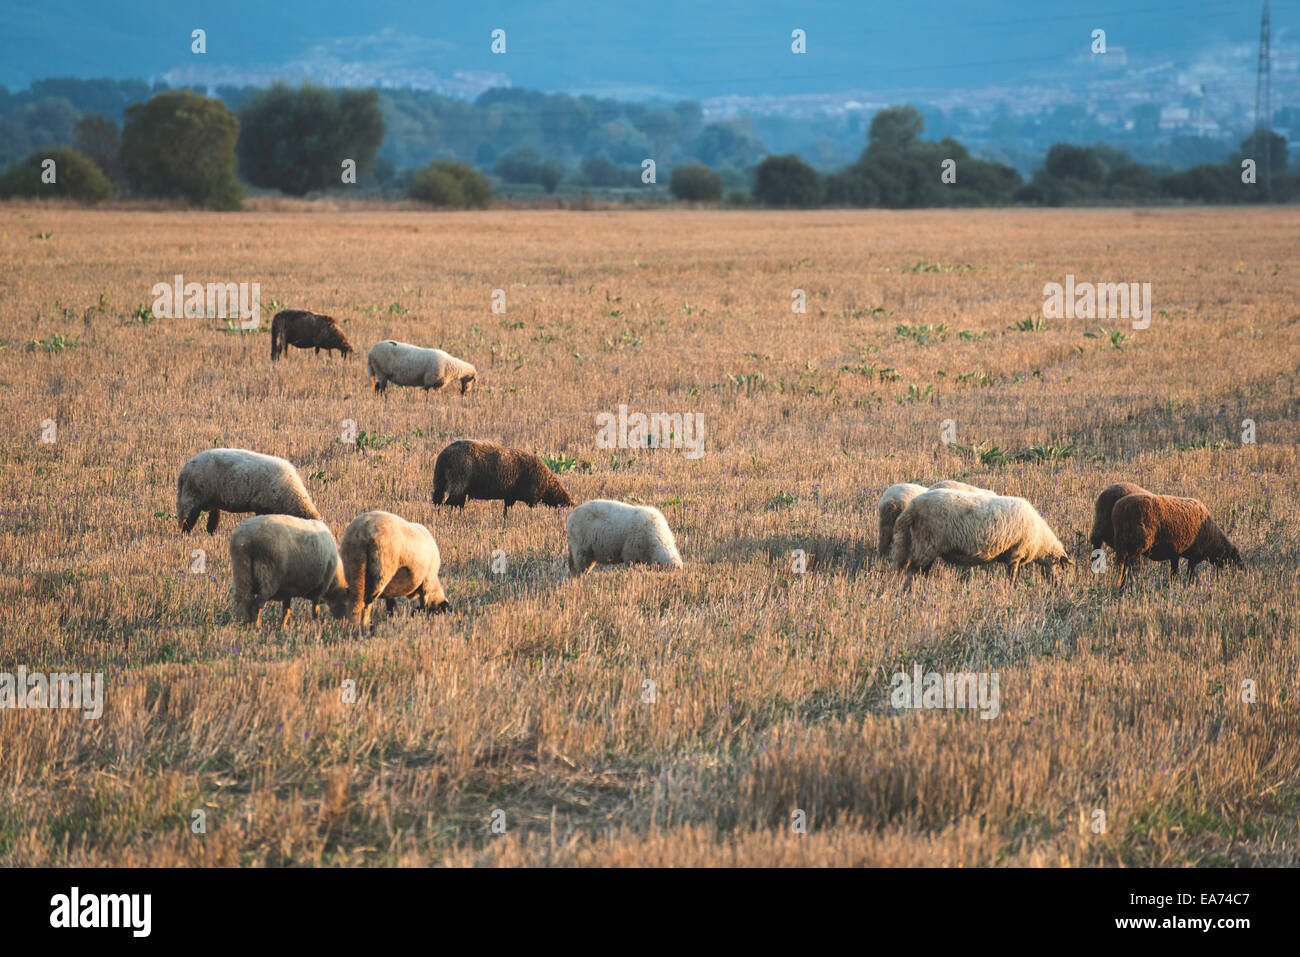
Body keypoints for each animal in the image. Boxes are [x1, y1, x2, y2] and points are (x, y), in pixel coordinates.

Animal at [177, 448, 321, 534]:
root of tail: (184, 470)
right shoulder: (261, 506)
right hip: (194, 496)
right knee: (190, 520)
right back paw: (186, 535)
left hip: (212, 499)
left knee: (212, 520)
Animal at [432, 439, 574, 519]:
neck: (548, 485)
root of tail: (443, 456)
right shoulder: (532, 499)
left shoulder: (510, 496)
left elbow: (506, 511)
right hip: (458, 484)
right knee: (448, 504)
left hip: (441, 484)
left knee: (441, 503)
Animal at [890, 489, 1071, 584]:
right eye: (1058, 565)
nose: (1056, 585)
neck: (1040, 541)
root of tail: (912, 507)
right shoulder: (1015, 553)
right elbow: (1012, 577)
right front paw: (1012, 589)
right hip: (927, 543)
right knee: (913, 570)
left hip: (927, 546)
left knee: (921, 570)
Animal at [1111, 493, 1242, 591]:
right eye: (1234, 558)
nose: (1241, 573)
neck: (1213, 537)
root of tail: (1121, 508)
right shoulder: (1193, 557)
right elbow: (1188, 575)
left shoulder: (1175, 555)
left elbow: (1174, 573)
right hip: (1137, 546)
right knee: (1127, 565)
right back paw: (1126, 585)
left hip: (1121, 544)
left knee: (1122, 565)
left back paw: (1120, 586)